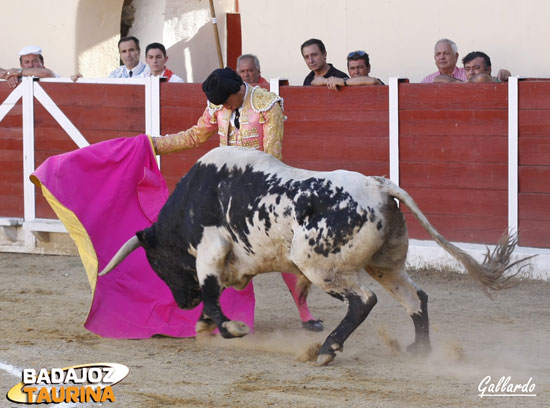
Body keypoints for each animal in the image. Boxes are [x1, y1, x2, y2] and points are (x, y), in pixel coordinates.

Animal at [101, 145, 528, 364]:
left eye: (157, 262)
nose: (182, 302)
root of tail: (379, 185)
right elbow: (216, 293)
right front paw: (206, 325)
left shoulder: (210, 249)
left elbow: (210, 289)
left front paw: (228, 328)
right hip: (385, 264)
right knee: (414, 297)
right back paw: (419, 351)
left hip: (321, 266)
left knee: (363, 300)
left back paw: (326, 350)